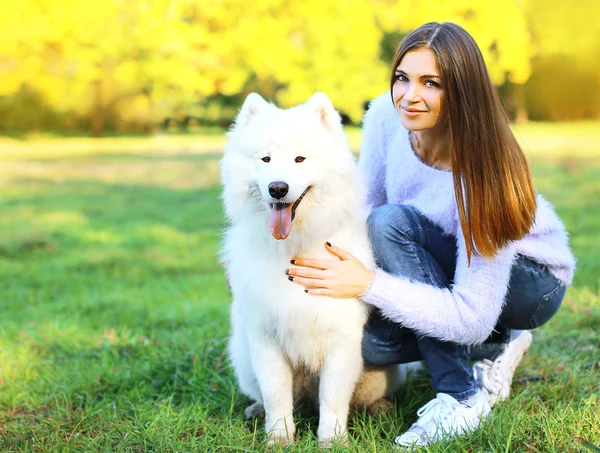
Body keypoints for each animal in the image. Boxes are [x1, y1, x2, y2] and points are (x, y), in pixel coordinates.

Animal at [220, 92, 404, 444]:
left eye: (300, 159)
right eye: (265, 159)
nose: (277, 188)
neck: (294, 247)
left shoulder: (341, 342)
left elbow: (332, 399)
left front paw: (332, 440)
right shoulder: (265, 339)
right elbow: (276, 395)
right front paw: (279, 437)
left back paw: (381, 407)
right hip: (244, 359)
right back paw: (256, 410)